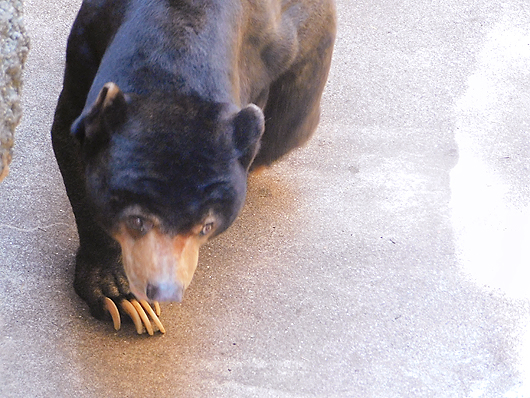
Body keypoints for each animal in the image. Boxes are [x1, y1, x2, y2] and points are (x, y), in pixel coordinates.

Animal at [50, 0, 334, 336]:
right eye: (136, 220)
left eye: (207, 226)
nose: (163, 289)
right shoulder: (88, 41)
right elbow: (72, 139)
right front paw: (124, 300)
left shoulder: (286, 33)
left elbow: (294, 110)